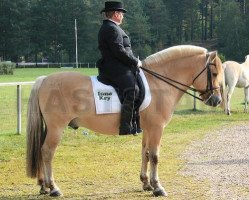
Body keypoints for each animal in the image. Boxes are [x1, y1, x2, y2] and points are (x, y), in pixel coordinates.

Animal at [25, 45, 224, 197]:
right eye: (214, 73)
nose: (217, 101)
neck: (158, 84)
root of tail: (43, 80)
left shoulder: (148, 129)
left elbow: (145, 153)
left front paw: (146, 184)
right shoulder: (157, 128)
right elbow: (155, 156)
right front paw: (157, 187)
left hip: (50, 128)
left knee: (42, 151)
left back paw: (43, 186)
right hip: (56, 128)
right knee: (47, 152)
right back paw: (53, 188)